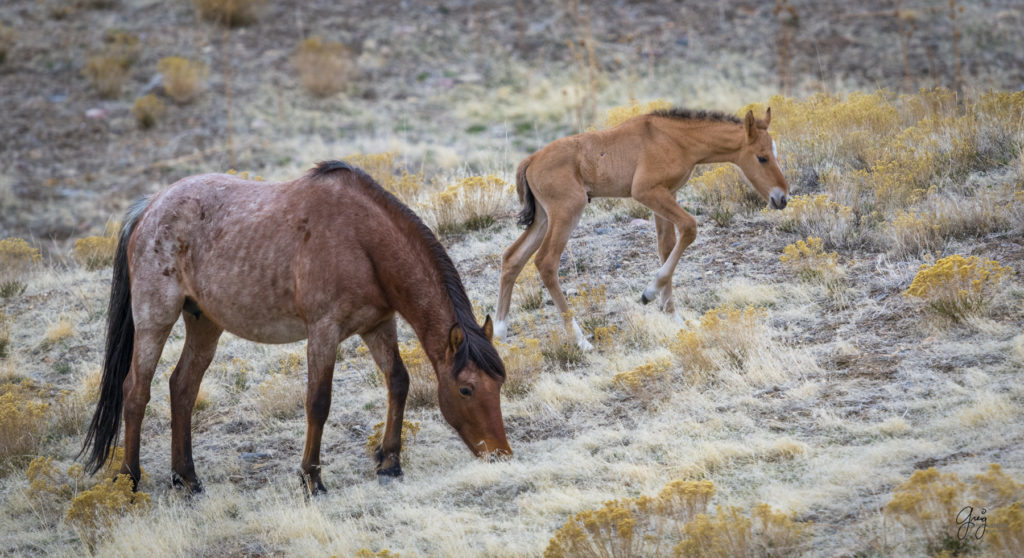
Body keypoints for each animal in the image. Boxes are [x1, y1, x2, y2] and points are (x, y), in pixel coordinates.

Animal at [80, 160, 512, 495]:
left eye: (499, 384)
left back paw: (187, 479)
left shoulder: (378, 325)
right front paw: (311, 480)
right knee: (136, 391)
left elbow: (398, 382)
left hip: (205, 324)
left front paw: (389, 464)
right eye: (466, 389)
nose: (501, 454)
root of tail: (150, 207)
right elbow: (318, 401)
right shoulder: (324, 331)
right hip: (155, 318)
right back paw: (129, 480)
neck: (363, 239)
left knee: (182, 388)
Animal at [495, 106, 790, 346]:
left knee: (512, 257)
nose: (782, 198)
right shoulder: (647, 192)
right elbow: (690, 227)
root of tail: (531, 160)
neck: (675, 139)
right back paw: (580, 341)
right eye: (762, 157)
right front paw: (648, 294)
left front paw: (673, 316)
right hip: (567, 212)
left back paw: (498, 331)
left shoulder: (667, 194)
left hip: (544, 218)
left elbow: (667, 247)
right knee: (545, 262)